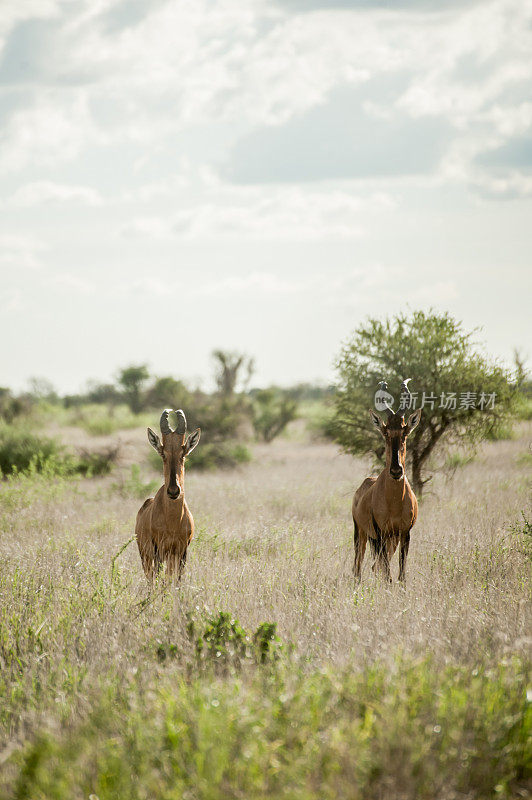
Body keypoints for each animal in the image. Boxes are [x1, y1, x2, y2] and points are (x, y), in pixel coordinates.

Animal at [137, 410, 202, 584]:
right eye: (163, 454)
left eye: (183, 454)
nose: (173, 491)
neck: (172, 520)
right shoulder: (158, 550)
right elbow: (160, 581)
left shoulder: (182, 552)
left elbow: (177, 581)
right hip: (145, 555)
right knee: (150, 579)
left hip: (171, 557)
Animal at [352, 378, 422, 584]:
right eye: (385, 432)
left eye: (405, 432)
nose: (396, 471)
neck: (394, 501)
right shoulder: (380, 533)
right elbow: (388, 574)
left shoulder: (405, 533)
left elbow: (401, 574)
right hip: (361, 533)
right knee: (358, 565)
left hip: (391, 539)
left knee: (375, 566)